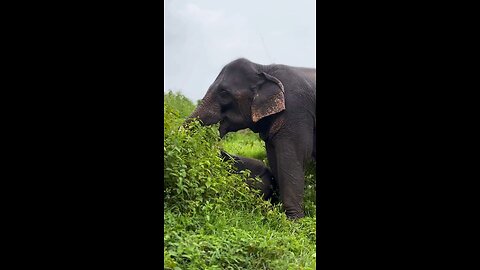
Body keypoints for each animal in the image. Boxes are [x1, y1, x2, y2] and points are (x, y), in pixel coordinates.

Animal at [187, 58, 316, 218]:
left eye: (224, 93)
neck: (263, 69)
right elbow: (274, 158)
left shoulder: (296, 112)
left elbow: (294, 157)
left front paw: (293, 221)